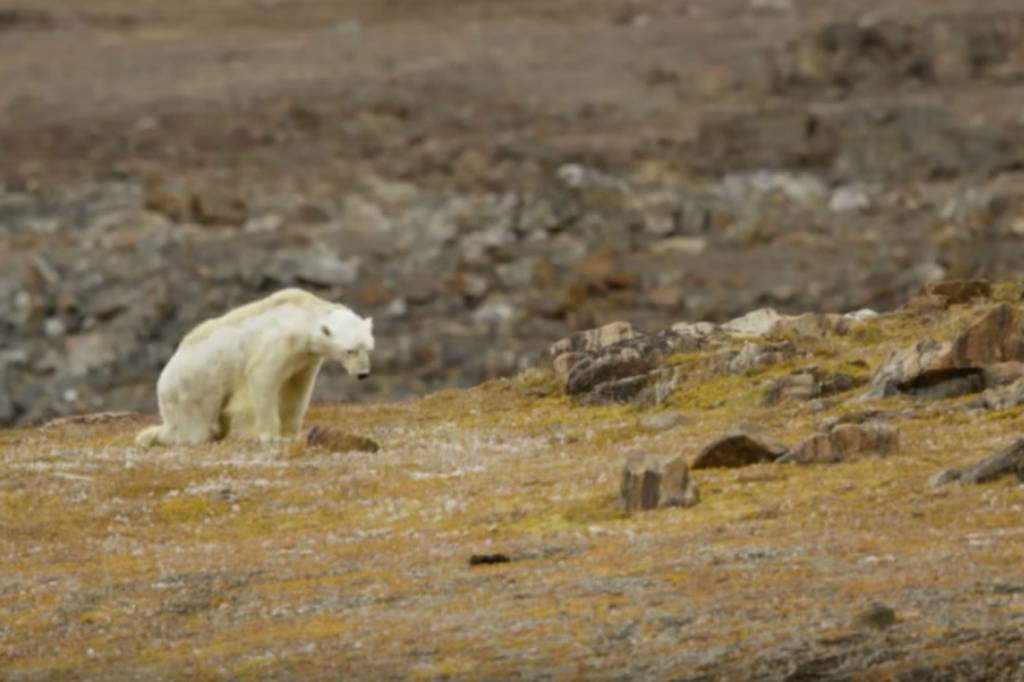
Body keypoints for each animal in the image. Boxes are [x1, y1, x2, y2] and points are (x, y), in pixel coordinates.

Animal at [136, 286, 374, 446]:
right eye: (350, 350)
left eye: (368, 348)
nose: (363, 374)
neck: (301, 316)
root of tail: (162, 380)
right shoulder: (277, 344)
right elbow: (263, 381)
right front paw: (271, 436)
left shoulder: (305, 358)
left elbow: (298, 389)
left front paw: (291, 435)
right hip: (192, 390)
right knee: (192, 430)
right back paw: (149, 436)